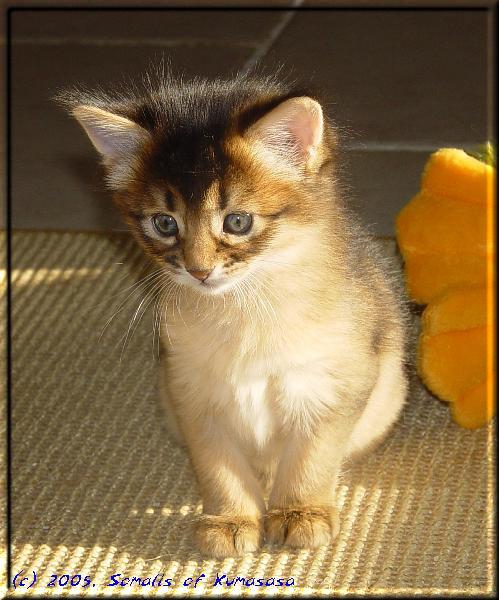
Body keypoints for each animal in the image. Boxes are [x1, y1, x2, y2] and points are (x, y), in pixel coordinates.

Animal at [60, 70, 408, 556]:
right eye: (164, 223)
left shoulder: (334, 383)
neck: (244, 312)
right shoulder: (193, 392)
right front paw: (230, 520)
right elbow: (219, 467)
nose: (199, 270)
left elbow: (310, 458)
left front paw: (300, 512)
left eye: (237, 222)